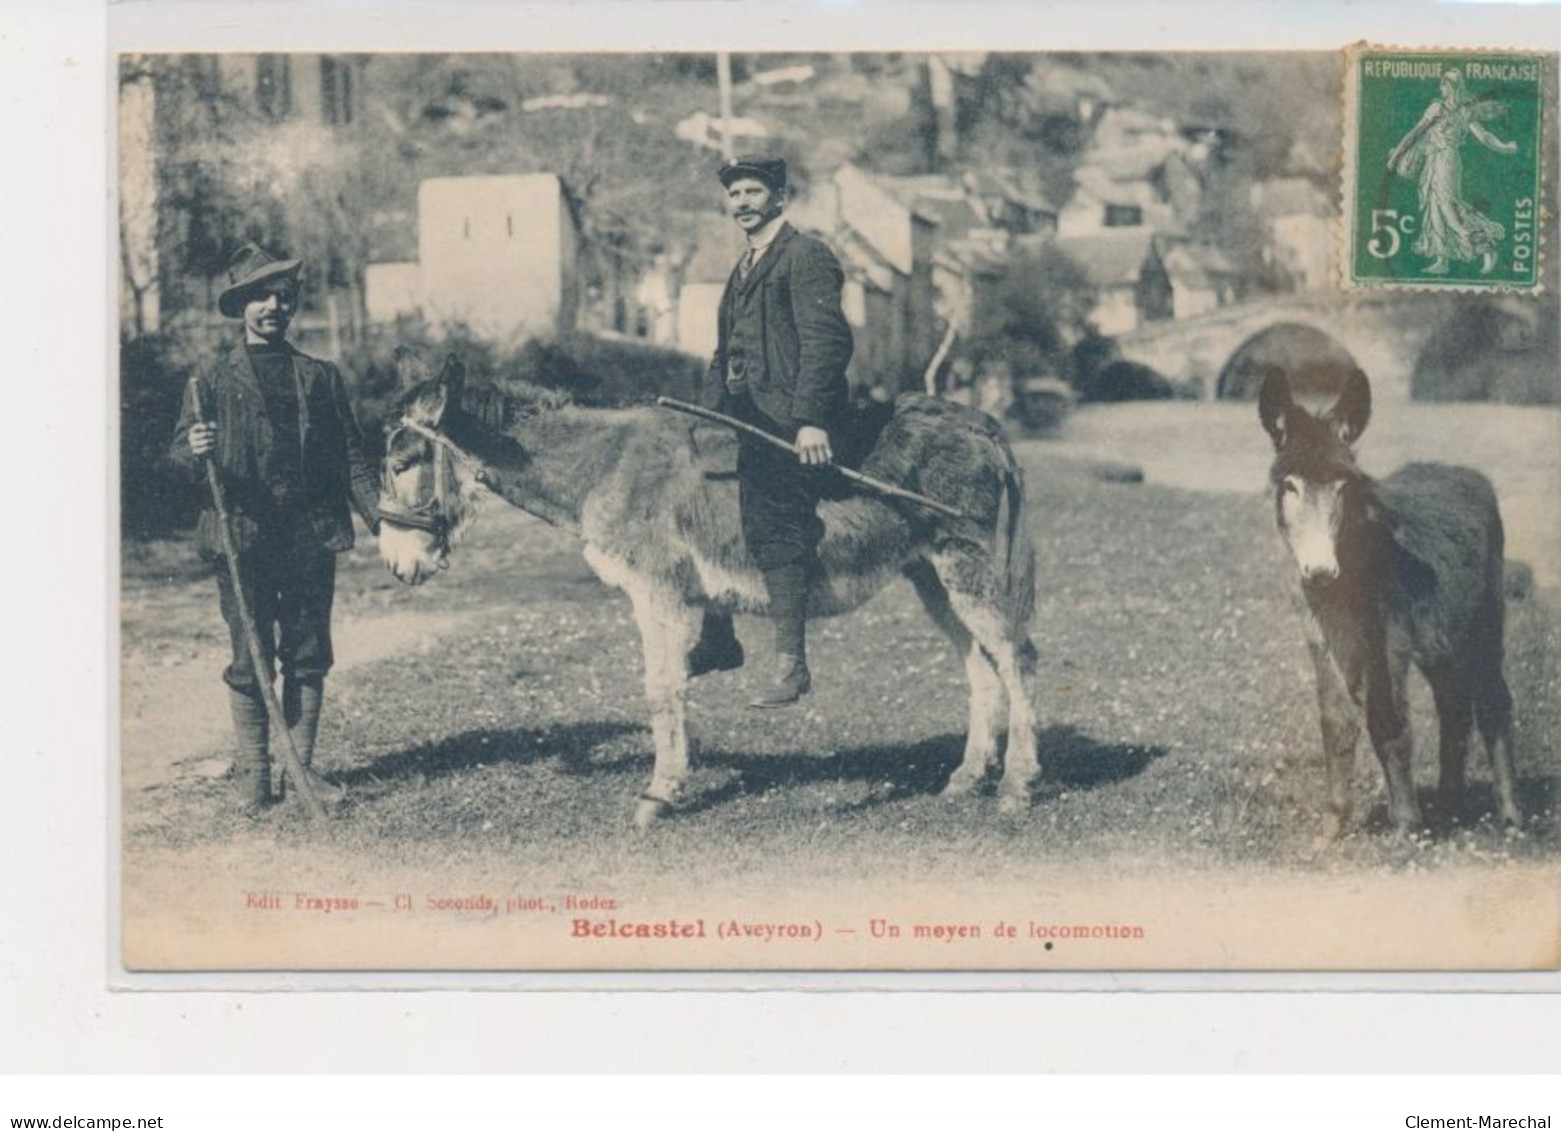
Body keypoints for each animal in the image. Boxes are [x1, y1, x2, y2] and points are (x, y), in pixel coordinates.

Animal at [1255, 366, 1523, 836]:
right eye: (1289, 486)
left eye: (1342, 486)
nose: (1320, 572)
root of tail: (1459, 470)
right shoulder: (1323, 641)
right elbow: (1336, 723)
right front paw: (1334, 826)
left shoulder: (1388, 642)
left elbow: (1388, 720)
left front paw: (1406, 826)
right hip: (1441, 642)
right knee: (1453, 705)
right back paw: (1450, 802)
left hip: (1483, 622)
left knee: (1493, 700)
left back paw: (1509, 814)